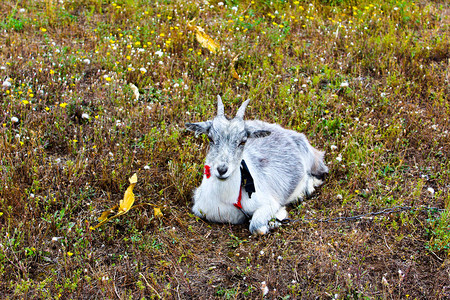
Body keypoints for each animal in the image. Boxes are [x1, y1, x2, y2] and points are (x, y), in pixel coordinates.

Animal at [185, 96, 328, 234]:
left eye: (243, 141)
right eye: (210, 138)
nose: (222, 169)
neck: (228, 200)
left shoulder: (268, 202)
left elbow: (256, 227)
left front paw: (277, 217)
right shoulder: (201, 209)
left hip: (311, 157)